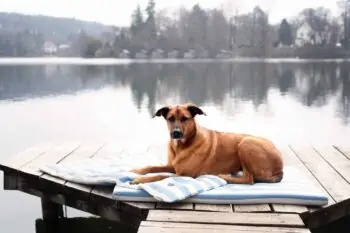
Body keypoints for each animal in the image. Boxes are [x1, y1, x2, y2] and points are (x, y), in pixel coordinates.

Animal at [130, 103, 284, 185]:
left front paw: (140, 180)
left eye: (185, 118)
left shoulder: (185, 174)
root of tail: (280, 168)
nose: (176, 133)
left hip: (246, 143)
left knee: (249, 179)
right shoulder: (173, 166)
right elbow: (153, 167)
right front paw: (138, 171)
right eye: (170, 118)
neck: (181, 146)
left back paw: (224, 176)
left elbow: (161, 176)